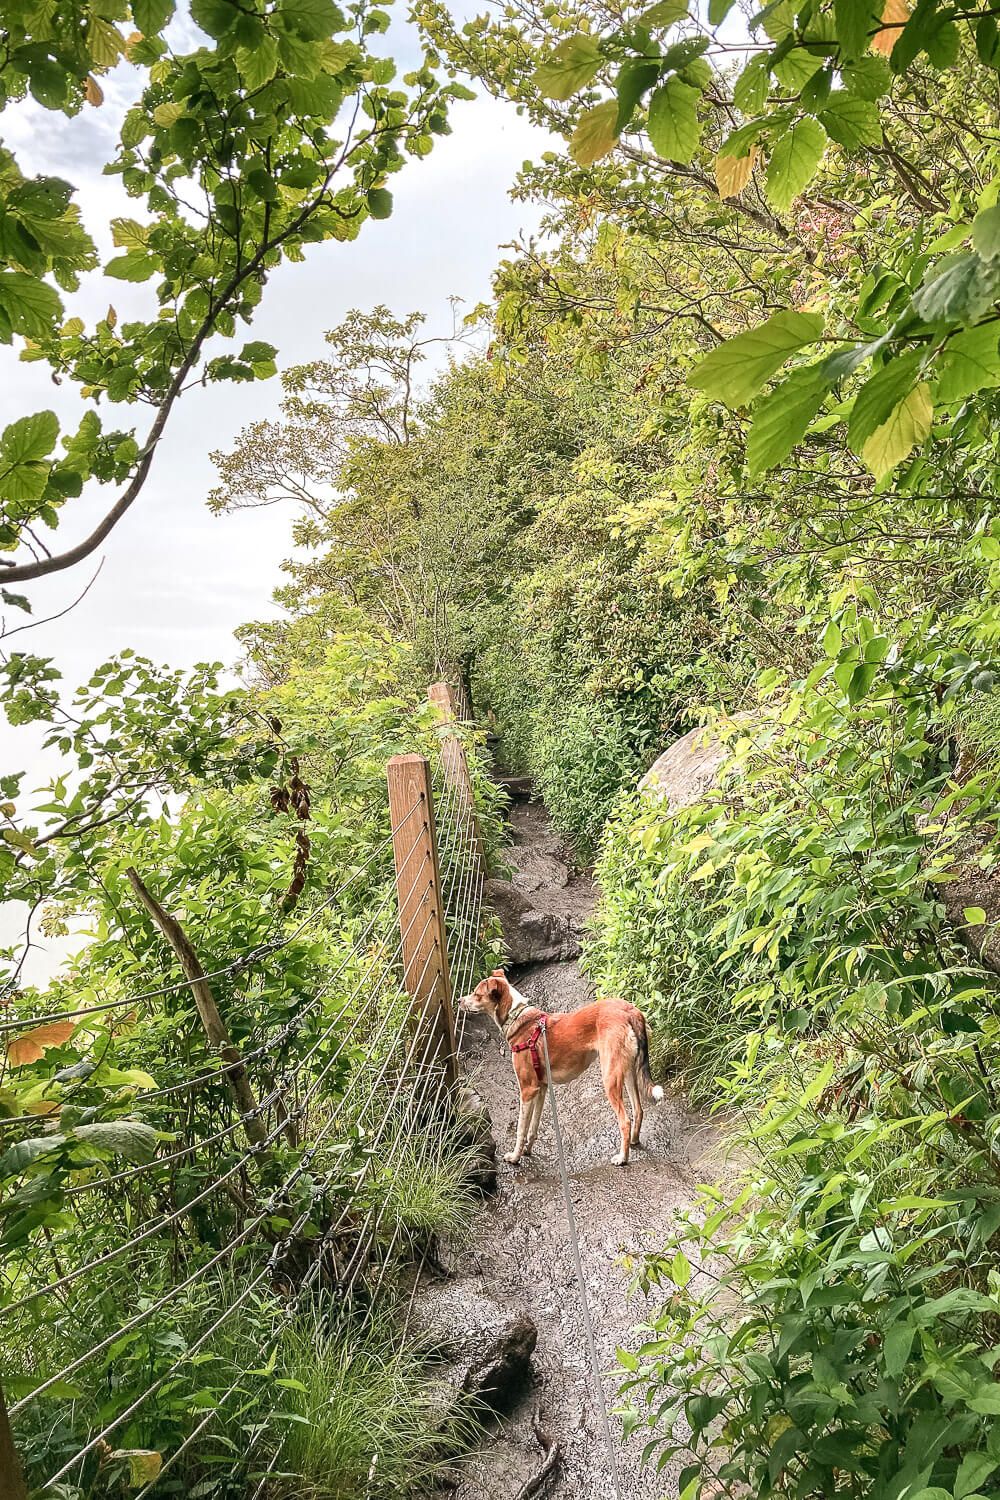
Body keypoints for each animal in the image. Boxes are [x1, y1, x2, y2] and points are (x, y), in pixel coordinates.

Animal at [461, 966, 665, 1164]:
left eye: (476, 994)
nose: (459, 1000)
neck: (517, 1017)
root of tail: (631, 1011)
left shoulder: (527, 1089)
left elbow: (521, 1129)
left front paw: (515, 1157)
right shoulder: (541, 1088)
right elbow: (533, 1126)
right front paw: (528, 1150)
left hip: (610, 1078)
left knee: (625, 1120)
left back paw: (622, 1157)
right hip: (628, 1072)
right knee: (638, 1110)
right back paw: (634, 1141)